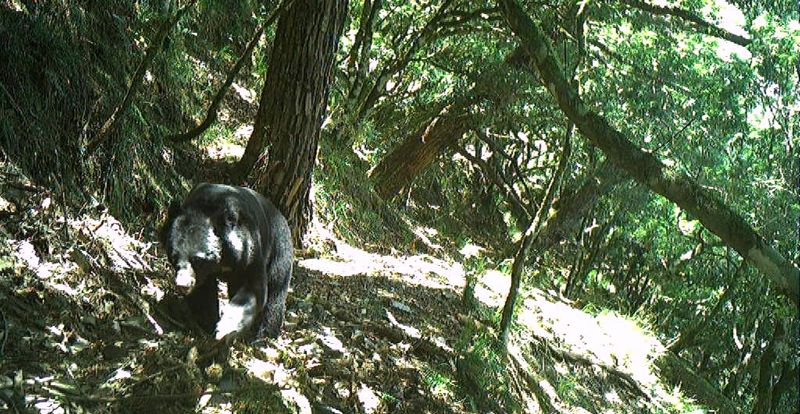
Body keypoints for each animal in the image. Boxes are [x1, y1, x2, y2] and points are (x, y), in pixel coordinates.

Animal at [161, 183, 293, 340]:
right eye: (173, 257)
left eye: (197, 259)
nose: (183, 285)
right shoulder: (203, 275)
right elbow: (203, 294)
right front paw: (207, 326)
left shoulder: (250, 251)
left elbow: (254, 288)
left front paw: (225, 327)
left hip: (279, 248)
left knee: (276, 289)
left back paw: (265, 334)